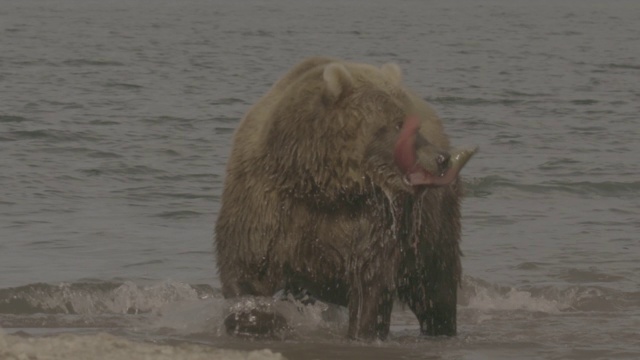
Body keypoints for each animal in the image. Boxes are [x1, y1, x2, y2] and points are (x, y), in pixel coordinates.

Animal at [215, 56, 476, 340]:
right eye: (399, 123)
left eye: (413, 123)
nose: (441, 158)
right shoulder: (265, 201)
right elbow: (246, 267)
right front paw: (256, 319)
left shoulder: (375, 216)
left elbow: (370, 279)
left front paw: (363, 332)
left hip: (431, 228)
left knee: (435, 285)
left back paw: (440, 327)